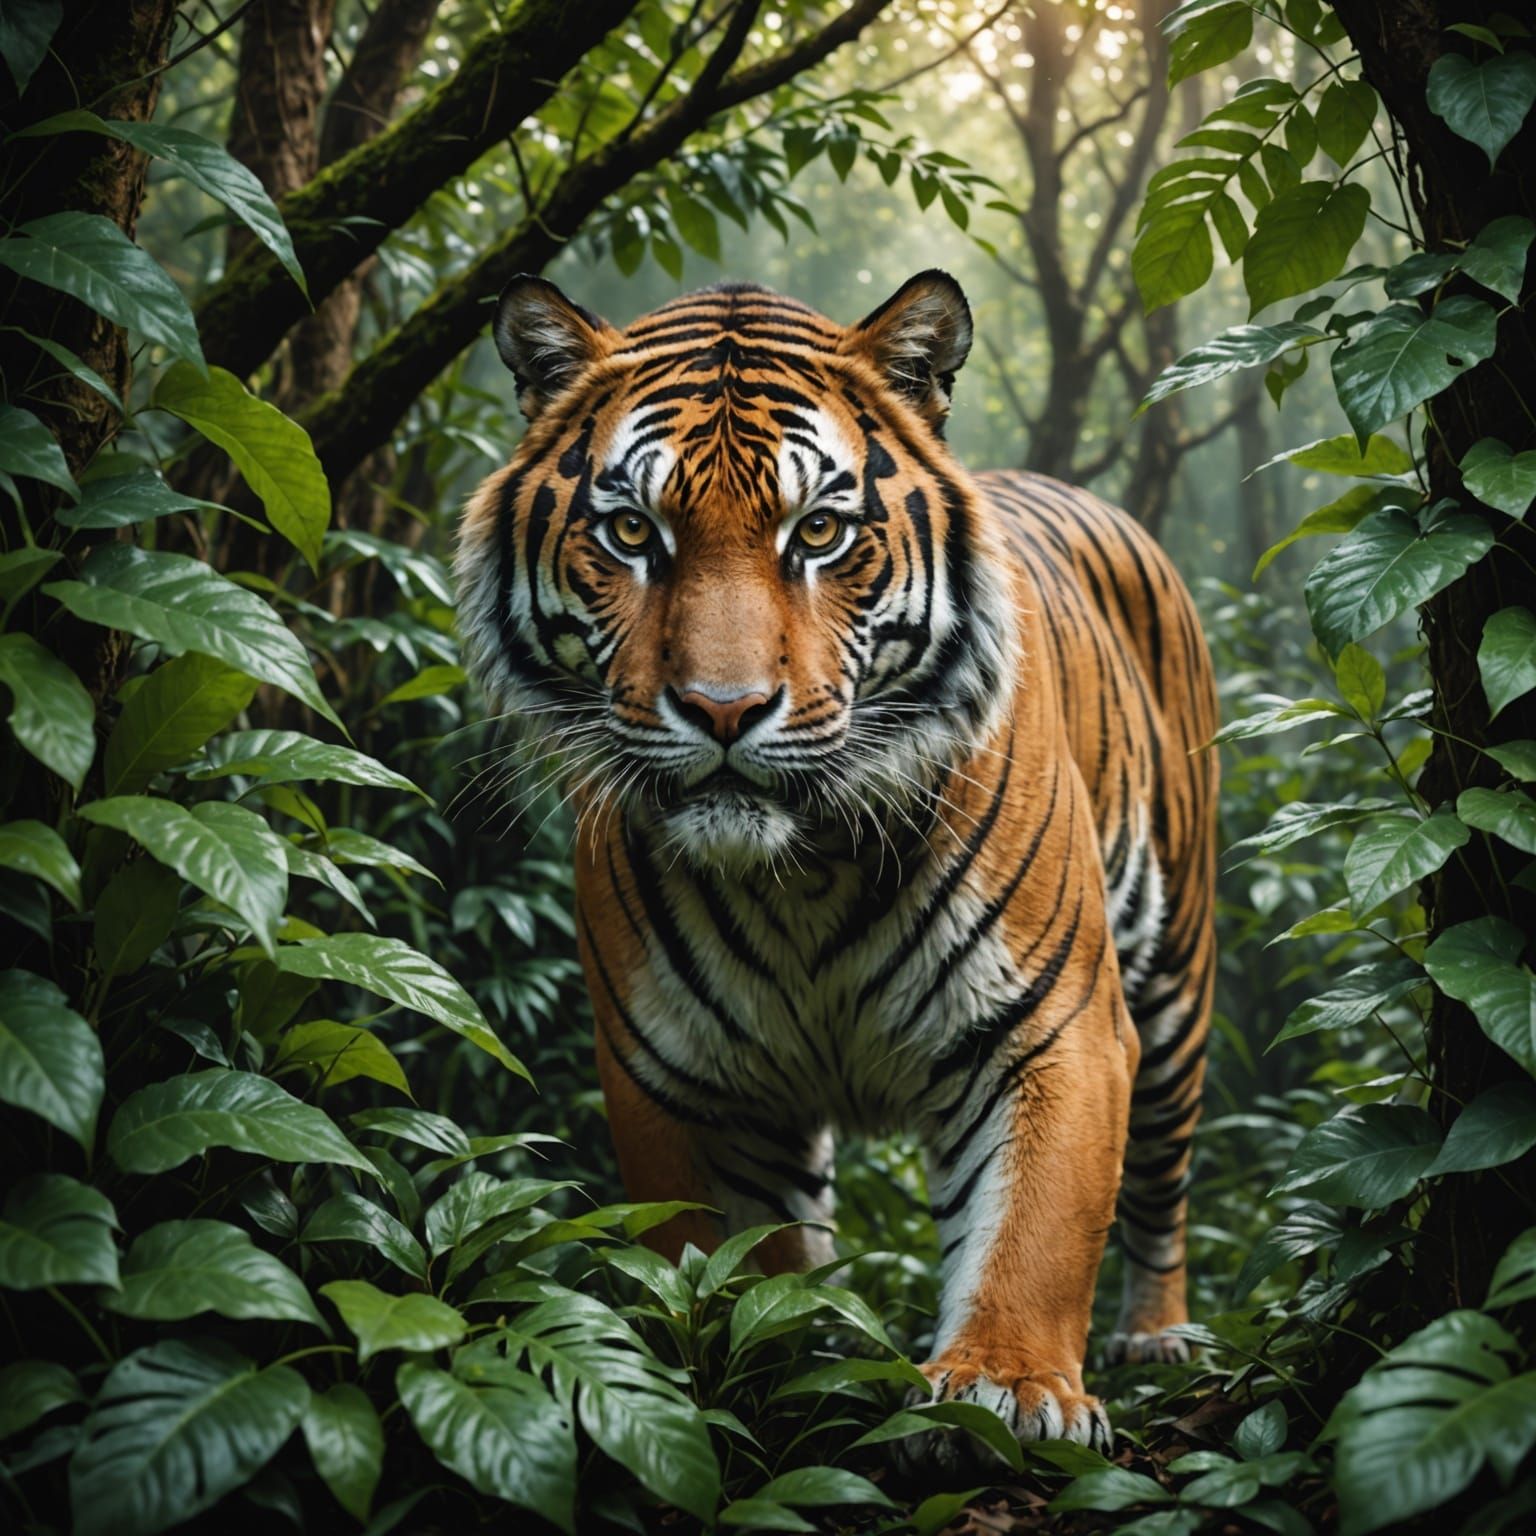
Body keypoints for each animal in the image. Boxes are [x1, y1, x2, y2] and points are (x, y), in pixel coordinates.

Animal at [456, 270, 1218, 1453]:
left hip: (1177, 970)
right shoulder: (681, 1073)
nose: (724, 710)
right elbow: (732, 1260)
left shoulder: (1054, 1023)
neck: (802, 870)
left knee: (1165, 1178)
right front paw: (772, 1374)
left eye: (817, 531)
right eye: (630, 531)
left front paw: (1008, 1388)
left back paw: (1159, 1337)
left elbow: (1038, 1225)